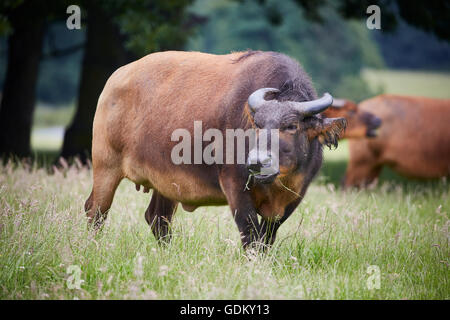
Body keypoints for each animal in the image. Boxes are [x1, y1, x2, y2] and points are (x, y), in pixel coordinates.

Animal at [84, 51, 344, 249]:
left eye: (291, 126)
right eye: (258, 125)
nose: (257, 162)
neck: (277, 184)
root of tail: (115, 80)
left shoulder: (293, 198)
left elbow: (266, 238)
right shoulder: (235, 187)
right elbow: (250, 233)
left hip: (164, 182)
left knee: (157, 218)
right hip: (105, 166)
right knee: (96, 211)